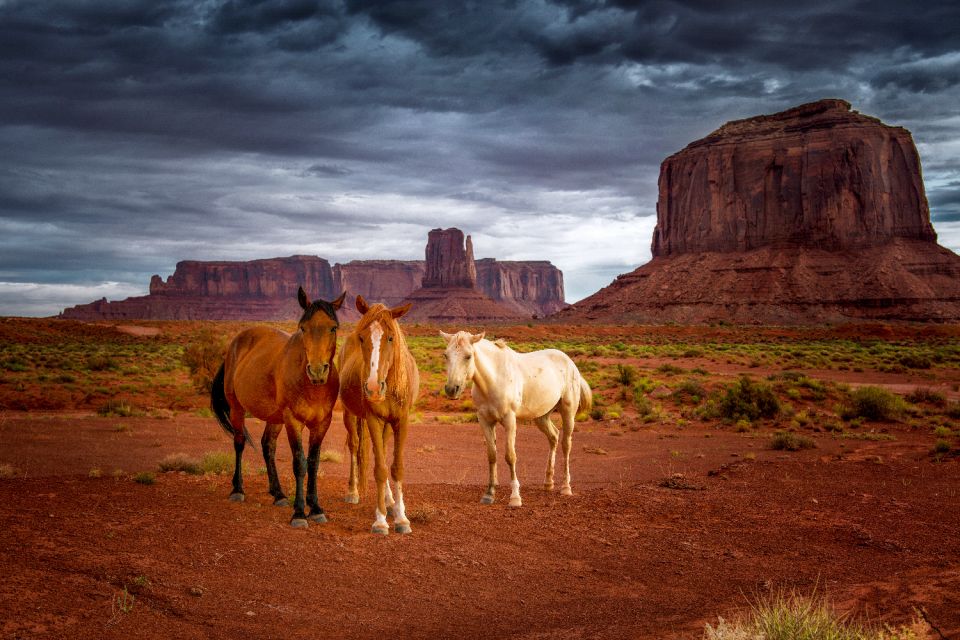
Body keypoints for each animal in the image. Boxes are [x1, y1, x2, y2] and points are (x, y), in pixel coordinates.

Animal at [212, 288, 346, 528]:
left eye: (333, 327)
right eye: (303, 327)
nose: (317, 371)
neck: (311, 386)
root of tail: (233, 346)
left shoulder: (322, 423)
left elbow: (314, 463)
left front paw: (316, 508)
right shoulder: (293, 420)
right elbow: (300, 463)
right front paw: (300, 513)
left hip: (274, 418)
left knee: (268, 446)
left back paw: (279, 494)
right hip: (237, 409)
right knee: (239, 443)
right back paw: (238, 489)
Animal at [344, 296, 422, 536]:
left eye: (390, 337)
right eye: (362, 337)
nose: (372, 388)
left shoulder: (401, 421)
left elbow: (396, 467)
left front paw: (401, 517)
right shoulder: (373, 419)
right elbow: (379, 469)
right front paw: (380, 520)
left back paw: (390, 500)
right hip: (350, 415)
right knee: (354, 446)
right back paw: (353, 492)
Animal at [438, 332, 588, 508]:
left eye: (468, 356)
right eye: (446, 355)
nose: (451, 389)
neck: (494, 380)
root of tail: (570, 362)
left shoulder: (510, 421)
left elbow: (510, 456)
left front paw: (515, 497)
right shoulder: (485, 421)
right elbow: (492, 455)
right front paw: (489, 493)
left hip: (568, 412)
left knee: (566, 444)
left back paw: (566, 487)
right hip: (542, 416)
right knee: (554, 437)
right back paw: (548, 482)